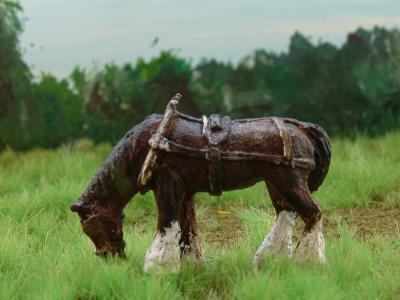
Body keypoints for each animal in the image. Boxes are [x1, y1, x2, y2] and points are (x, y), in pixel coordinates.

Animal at [70, 94, 330, 274]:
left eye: (92, 229)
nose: (111, 260)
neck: (146, 146)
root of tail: (304, 128)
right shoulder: (184, 190)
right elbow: (186, 228)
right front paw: (191, 265)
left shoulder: (168, 184)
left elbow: (167, 223)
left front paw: (157, 267)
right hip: (275, 184)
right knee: (286, 214)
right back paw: (269, 259)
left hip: (289, 182)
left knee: (313, 214)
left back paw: (308, 261)